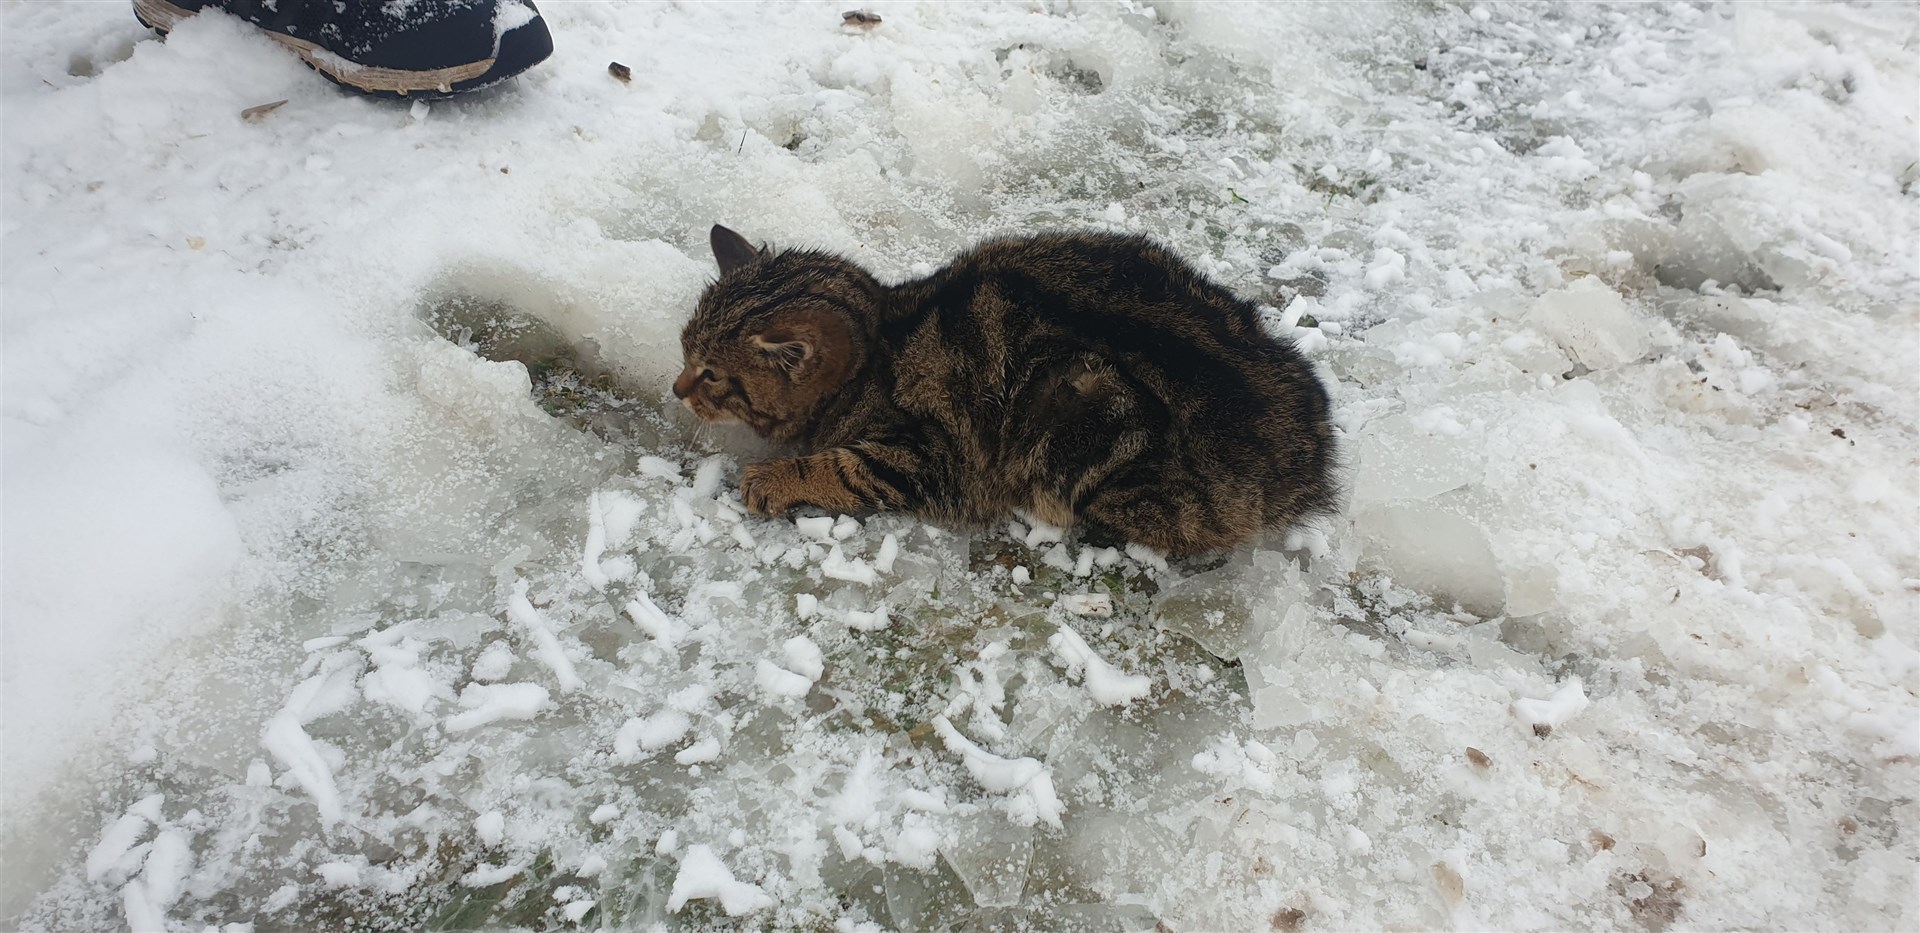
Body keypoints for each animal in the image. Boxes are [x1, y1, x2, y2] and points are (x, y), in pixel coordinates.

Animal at [675, 224, 1336, 560]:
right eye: (685, 352)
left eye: (711, 374)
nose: (678, 388)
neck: (883, 339)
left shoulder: (933, 455)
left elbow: (845, 466)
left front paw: (773, 478)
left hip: (1090, 418)